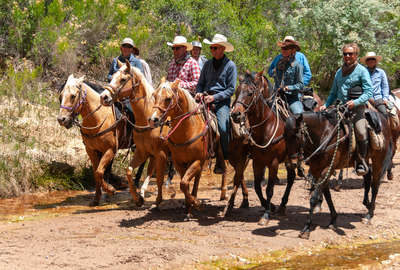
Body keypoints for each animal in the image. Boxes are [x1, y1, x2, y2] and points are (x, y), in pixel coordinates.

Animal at [57, 74, 153, 205]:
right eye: (60, 96)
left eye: (73, 96)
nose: (62, 119)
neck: (97, 118)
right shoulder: (91, 150)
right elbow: (97, 173)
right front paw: (97, 198)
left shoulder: (110, 150)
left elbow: (99, 172)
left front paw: (110, 190)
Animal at [148, 78, 228, 219]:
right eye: (155, 96)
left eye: (168, 98)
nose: (153, 119)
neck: (187, 131)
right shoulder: (179, 163)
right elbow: (184, 184)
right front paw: (189, 207)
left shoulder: (196, 161)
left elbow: (184, 183)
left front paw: (197, 204)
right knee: (197, 178)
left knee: (228, 169)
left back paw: (225, 193)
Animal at [231, 70, 296, 225]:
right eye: (237, 91)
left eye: (250, 93)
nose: (236, 114)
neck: (266, 128)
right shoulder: (257, 162)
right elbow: (257, 187)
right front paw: (270, 205)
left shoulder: (273, 163)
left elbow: (269, 190)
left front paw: (266, 215)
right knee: (291, 178)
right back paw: (281, 206)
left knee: (291, 179)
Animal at [284, 105, 394, 238]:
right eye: (284, 136)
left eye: (297, 135)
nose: (291, 163)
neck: (324, 134)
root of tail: (383, 121)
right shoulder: (316, 169)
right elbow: (327, 194)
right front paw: (333, 219)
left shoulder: (326, 169)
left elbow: (314, 198)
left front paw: (306, 228)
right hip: (364, 160)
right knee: (367, 176)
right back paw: (366, 204)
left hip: (379, 159)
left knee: (375, 184)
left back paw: (369, 215)